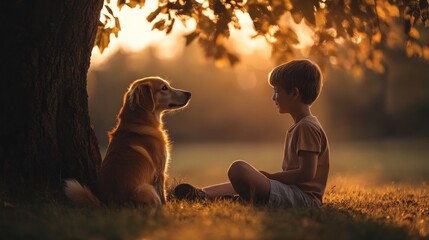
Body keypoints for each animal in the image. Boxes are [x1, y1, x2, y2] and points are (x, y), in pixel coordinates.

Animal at [64, 77, 191, 206]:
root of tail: (109, 203)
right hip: (146, 189)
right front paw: (167, 208)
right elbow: (163, 197)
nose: (189, 93)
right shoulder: (160, 171)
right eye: (164, 88)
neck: (140, 121)